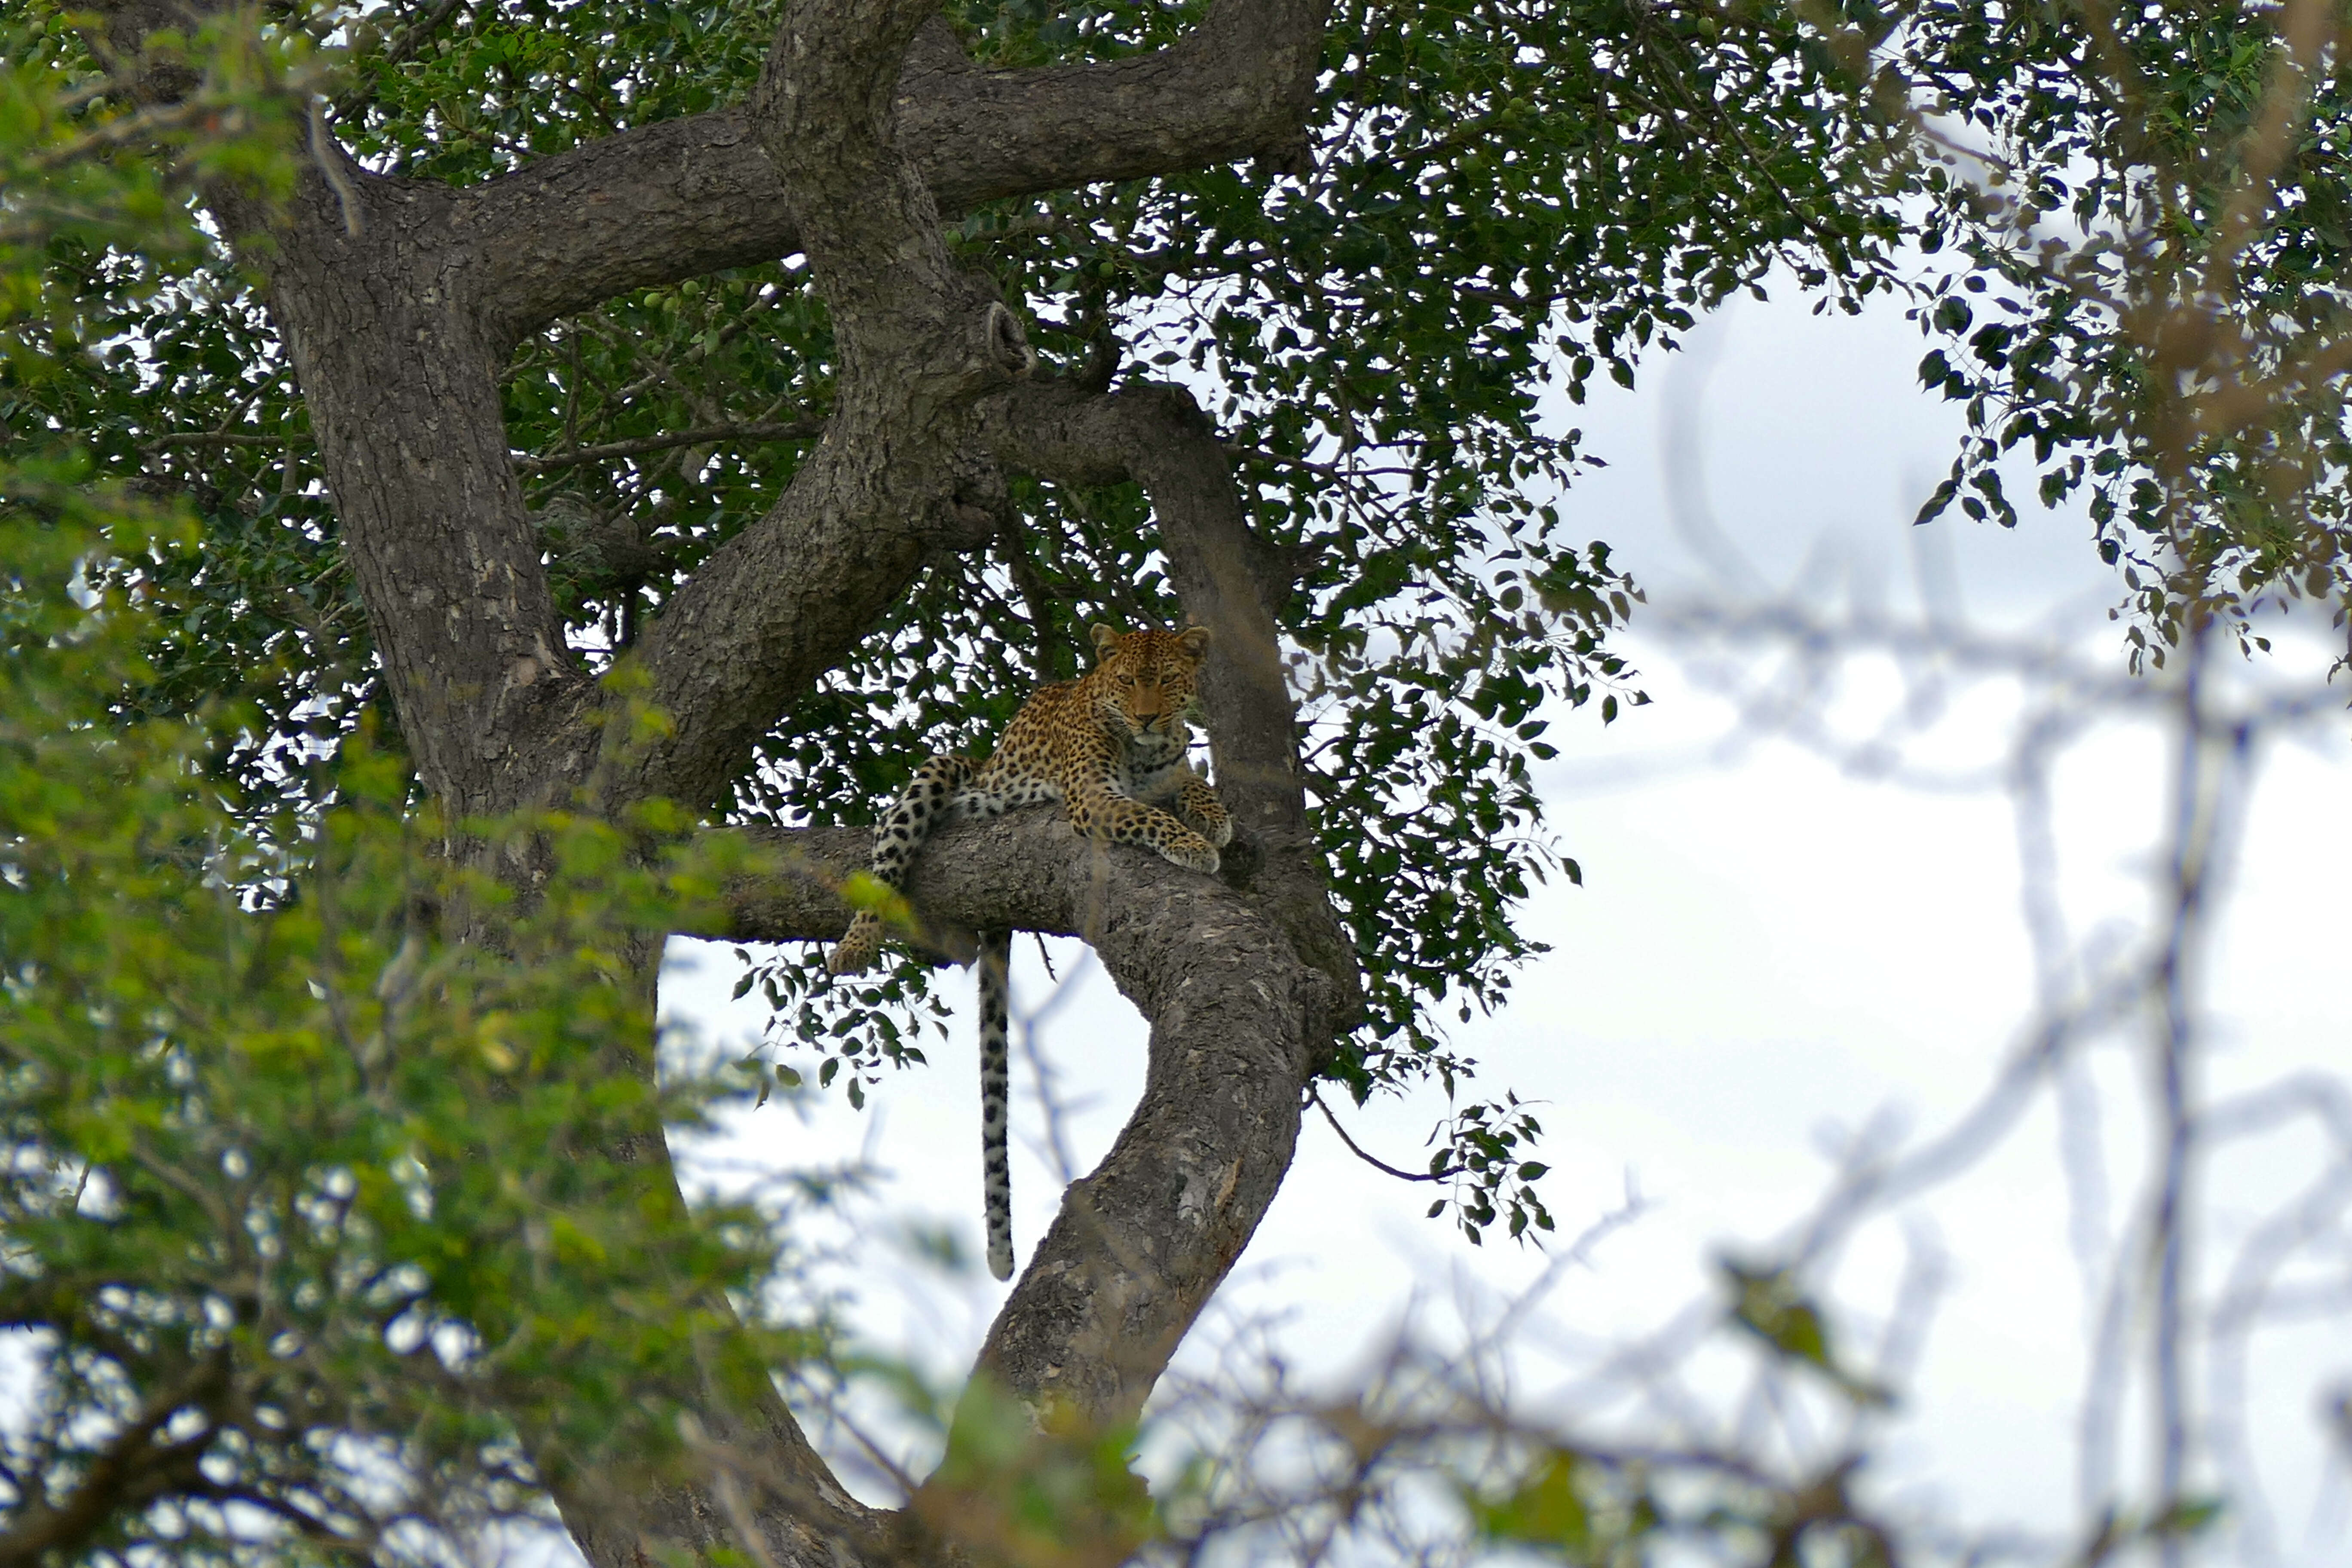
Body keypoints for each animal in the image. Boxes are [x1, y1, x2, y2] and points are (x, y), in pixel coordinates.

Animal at [823, 630, 1232, 1288]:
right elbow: (1148, 815)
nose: (1147, 718)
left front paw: (1214, 817)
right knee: (888, 851)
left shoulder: (1168, 768)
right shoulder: (1095, 798)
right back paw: (854, 945)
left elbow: (1189, 783)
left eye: (1169, 680)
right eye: (1128, 682)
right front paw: (1194, 845)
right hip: (942, 772)